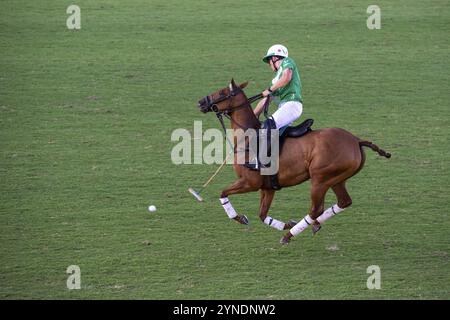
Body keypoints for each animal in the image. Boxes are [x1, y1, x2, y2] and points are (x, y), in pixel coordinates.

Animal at [197, 79, 390, 244]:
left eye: (222, 92)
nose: (200, 102)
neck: (248, 137)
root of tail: (356, 140)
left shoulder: (250, 182)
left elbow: (223, 193)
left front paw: (240, 218)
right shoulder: (268, 187)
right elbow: (262, 215)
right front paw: (287, 223)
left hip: (320, 179)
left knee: (316, 209)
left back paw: (289, 235)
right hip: (337, 179)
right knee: (344, 202)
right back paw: (312, 225)